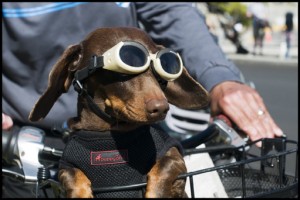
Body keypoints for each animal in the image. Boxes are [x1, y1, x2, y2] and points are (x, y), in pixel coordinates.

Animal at [28, 27, 209, 198]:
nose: (161, 108)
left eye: (160, 72)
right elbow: (73, 177)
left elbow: (163, 168)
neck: (109, 132)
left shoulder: (174, 156)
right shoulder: (66, 167)